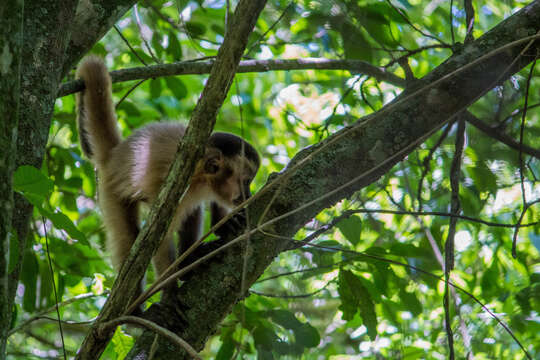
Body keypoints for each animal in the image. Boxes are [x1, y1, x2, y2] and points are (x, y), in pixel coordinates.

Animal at [75, 55, 260, 282]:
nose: (248, 194)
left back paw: (189, 260)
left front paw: (224, 223)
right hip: (112, 190)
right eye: (245, 181)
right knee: (129, 239)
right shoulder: (176, 186)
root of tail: (115, 154)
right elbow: (155, 242)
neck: (199, 174)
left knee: (193, 210)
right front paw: (170, 289)